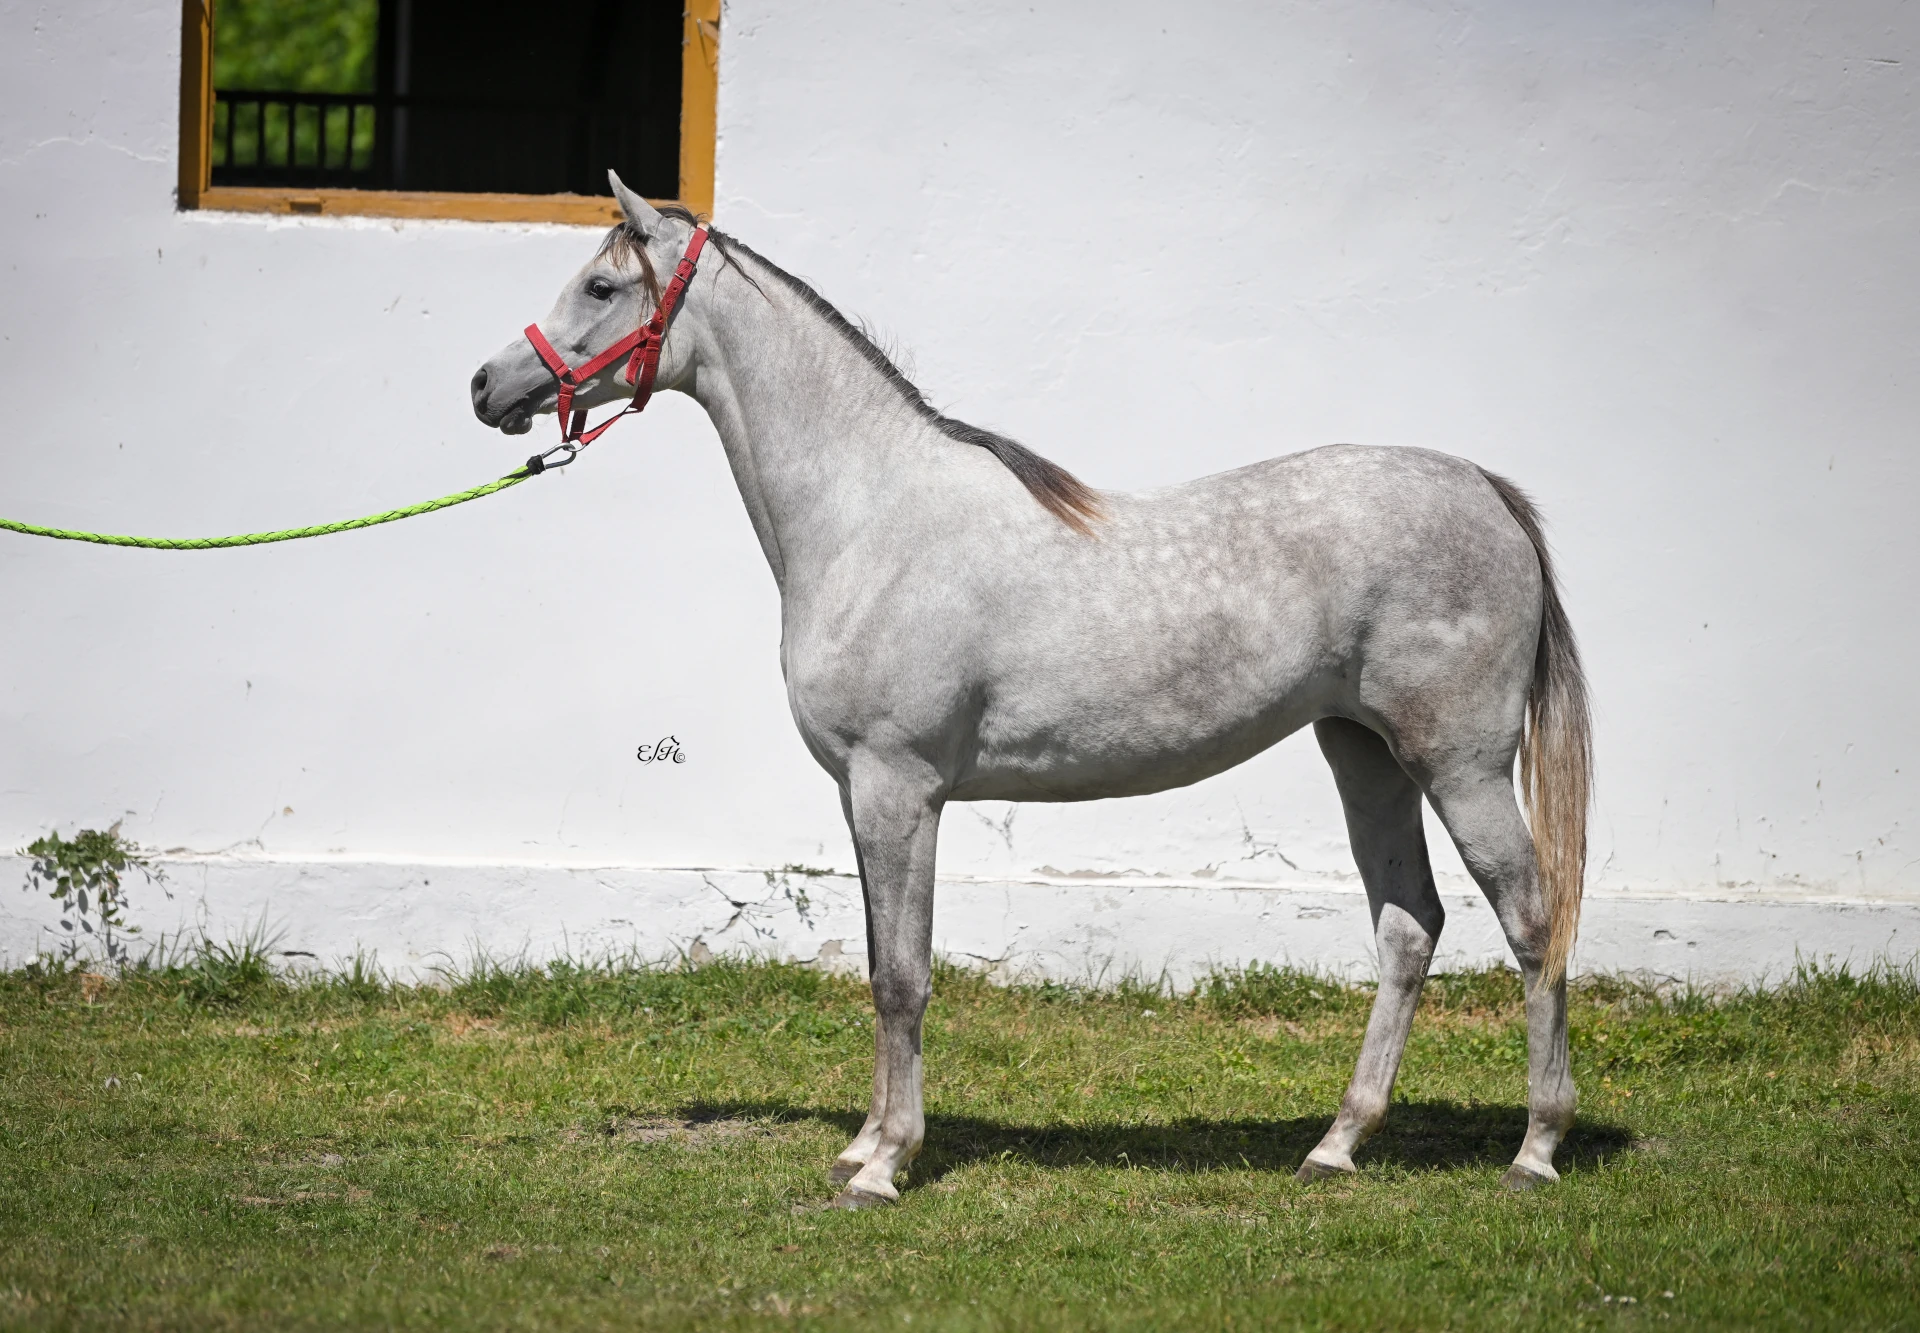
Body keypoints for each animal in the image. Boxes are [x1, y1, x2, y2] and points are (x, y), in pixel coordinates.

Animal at [464, 174, 1589, 1213]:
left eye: (601, 285)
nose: (486, 384)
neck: (872, 518)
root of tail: (1487, 491)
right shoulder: (862, 795)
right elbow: (877, 963)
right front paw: (861, 1144)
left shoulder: (899, 788)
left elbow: (904, 976)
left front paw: (886, 1164)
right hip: (1364, 753)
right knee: (1408, 926)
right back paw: (1336, 1144)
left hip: (1460, 764)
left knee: (1532, 918)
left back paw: (1536, 1148)